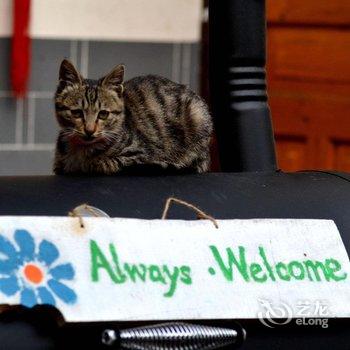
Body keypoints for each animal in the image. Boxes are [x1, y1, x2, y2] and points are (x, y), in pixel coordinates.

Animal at [53, 60, 212, 175]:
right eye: (77, 113)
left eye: (103, 114)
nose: (89, 130)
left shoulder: (141, 154)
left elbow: (107, 163)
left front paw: (88, 164)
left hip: (197, 115)